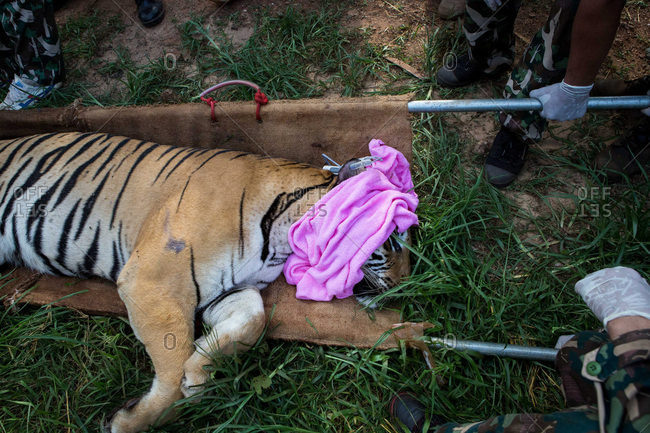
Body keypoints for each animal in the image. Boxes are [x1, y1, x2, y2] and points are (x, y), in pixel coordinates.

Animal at [0, 132, 410, 433]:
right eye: (393, 240)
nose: (402, 286)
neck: (281, 238)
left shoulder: (226, 290)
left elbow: (253, 320)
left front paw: (199, 367)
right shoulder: (151, 280)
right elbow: (170, 362)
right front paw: (134, 421)